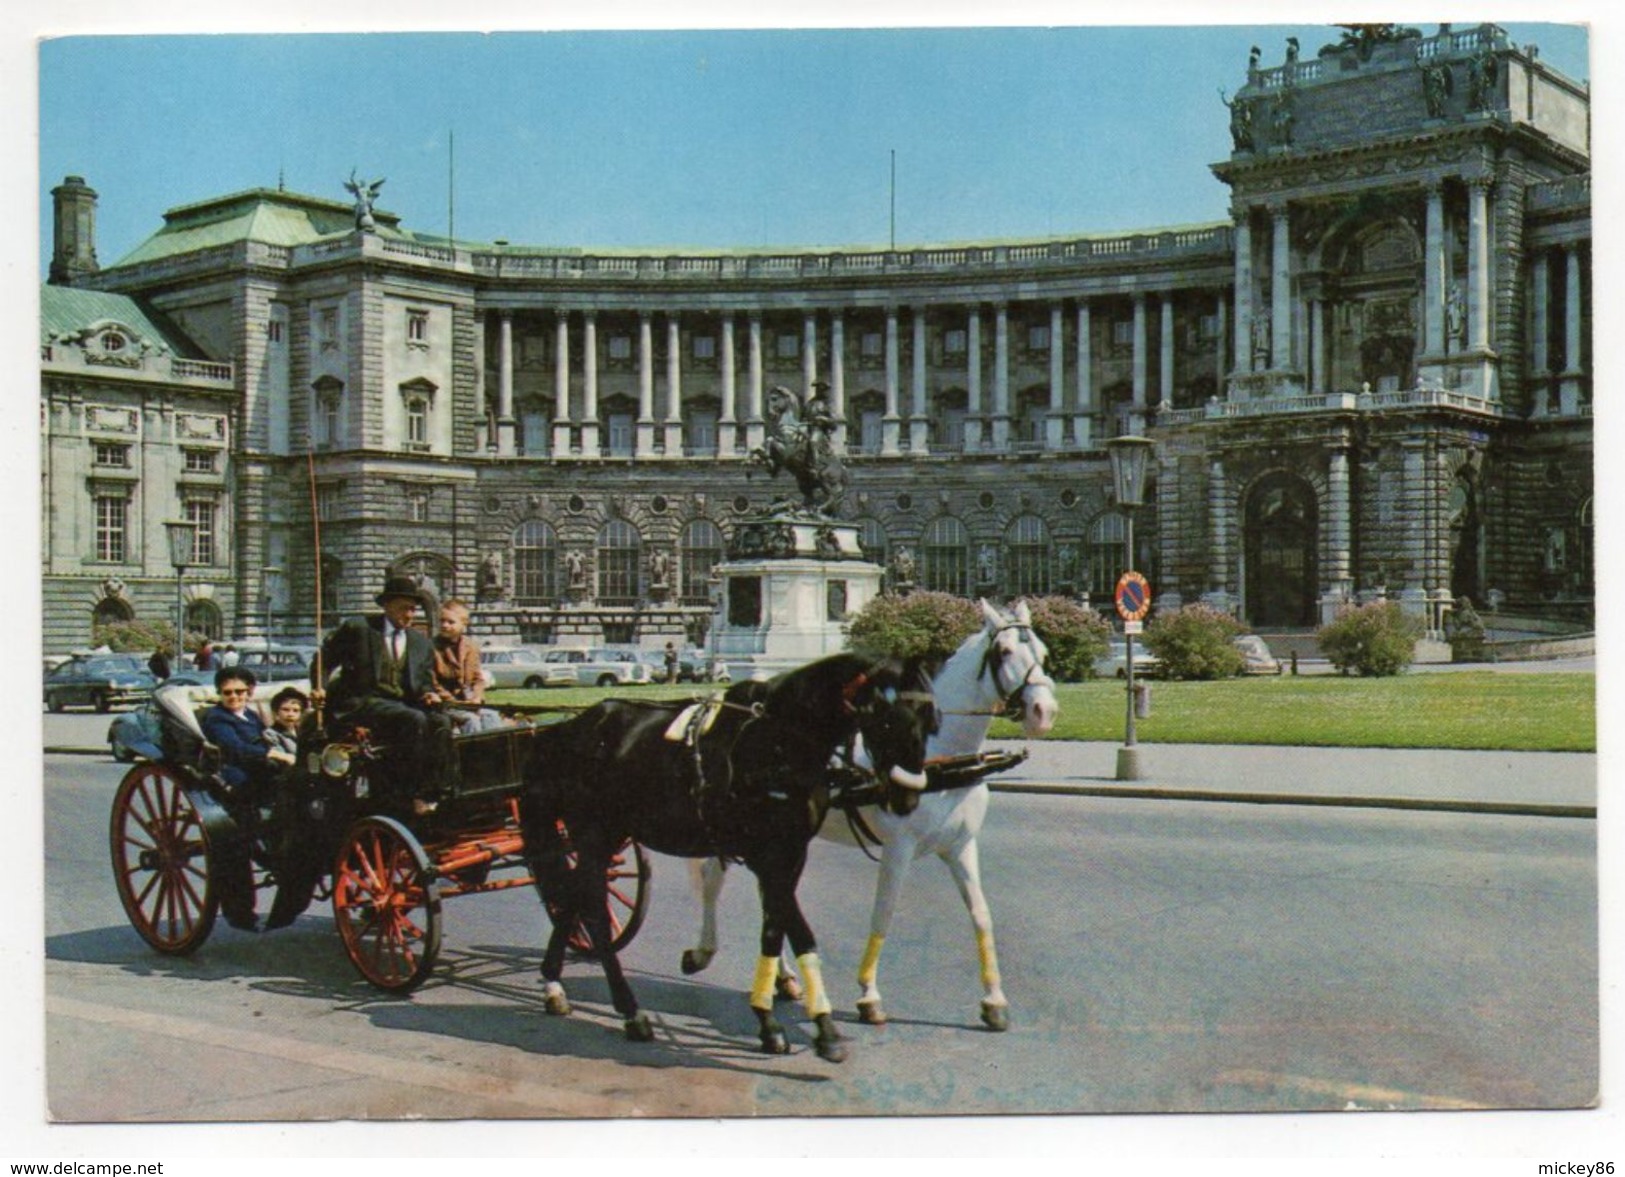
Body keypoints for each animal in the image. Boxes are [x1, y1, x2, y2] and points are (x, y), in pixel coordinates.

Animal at [513, 647, 936, 1059]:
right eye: (888, 721)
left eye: (931, 722)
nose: (908, 797)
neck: (779, 740)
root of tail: (568, 729)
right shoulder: (767, 857)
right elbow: (799, 933)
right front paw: (822, 1025)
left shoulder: (791, 854)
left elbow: (774, 930)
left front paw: (770, 1018)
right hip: (593, 834)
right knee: (595, 914)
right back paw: (630, 1010)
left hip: (609, 836)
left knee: (572, 896)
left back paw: (553, 983)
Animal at [679, 598, 1059, 1027]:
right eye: (1004, 652)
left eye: (1044, 652)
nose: (1043, 711)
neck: (939, 754)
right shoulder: (898, 848)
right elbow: (884, 914)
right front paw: (869, 993)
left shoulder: (961, 846)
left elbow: (981, 915)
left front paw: (994, 998)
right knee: (715, 878)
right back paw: (704, 951)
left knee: (773, 895)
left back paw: (784, 978)